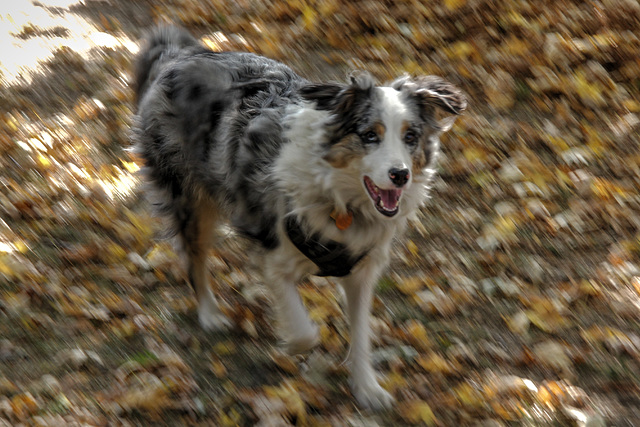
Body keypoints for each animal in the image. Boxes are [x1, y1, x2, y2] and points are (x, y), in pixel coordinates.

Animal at [134, 25, 464, 412]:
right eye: (370, 135)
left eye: (410, 137)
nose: (400, 175)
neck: (341, 201)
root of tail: (180, 54)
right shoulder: (274, 255)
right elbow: (306, 331)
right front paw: (290, 345)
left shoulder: (362, 270)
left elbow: (362, 332)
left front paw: (367, 387)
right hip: (190, 199)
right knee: (194, 257)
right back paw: (210, 313)